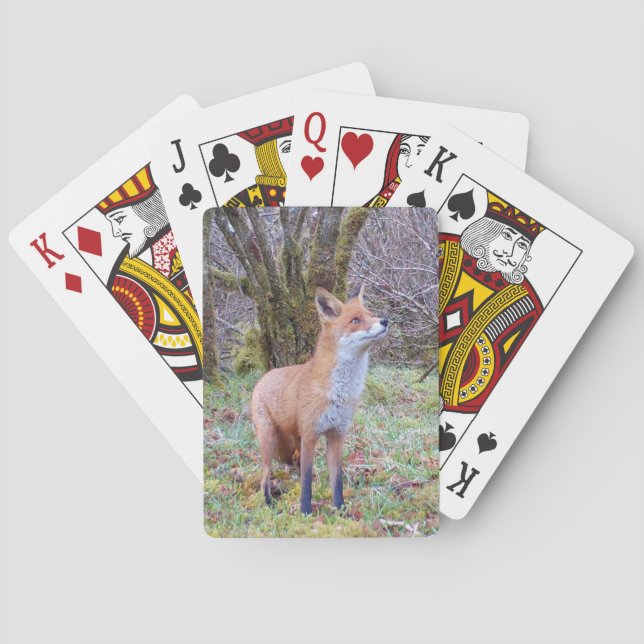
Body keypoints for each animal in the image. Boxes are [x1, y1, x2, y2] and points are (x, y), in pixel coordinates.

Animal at [250, 285, 388, 514]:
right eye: (355, 320)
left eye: (371, 314)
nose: (385, 321)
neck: (340, 393)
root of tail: (263, 377)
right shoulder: (310, 435)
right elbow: (306, 483)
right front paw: (306, 511)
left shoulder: (337, 435)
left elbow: (337, 480)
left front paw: (340, 510)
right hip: (269, 440)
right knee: (265, 474)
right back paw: (268, 502)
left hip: (293, 441)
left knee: (294, 467)